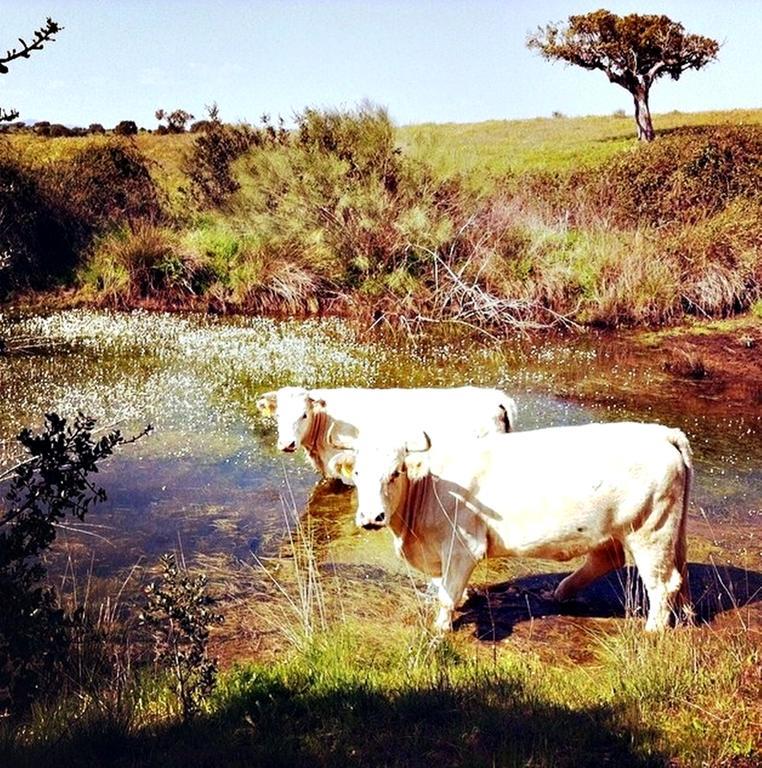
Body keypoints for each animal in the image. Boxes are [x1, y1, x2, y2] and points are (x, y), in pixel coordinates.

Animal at [330, 424, 692, 632]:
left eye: (395, 473)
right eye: (357, 473)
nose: (372, 516)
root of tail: (661, 433)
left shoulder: (463, 547)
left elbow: (447, 594)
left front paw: (440, 628)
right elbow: (446, 586)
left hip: (650, 529)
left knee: (663, 583)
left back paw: (653, 631)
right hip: (634, 529)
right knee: (630, 561)